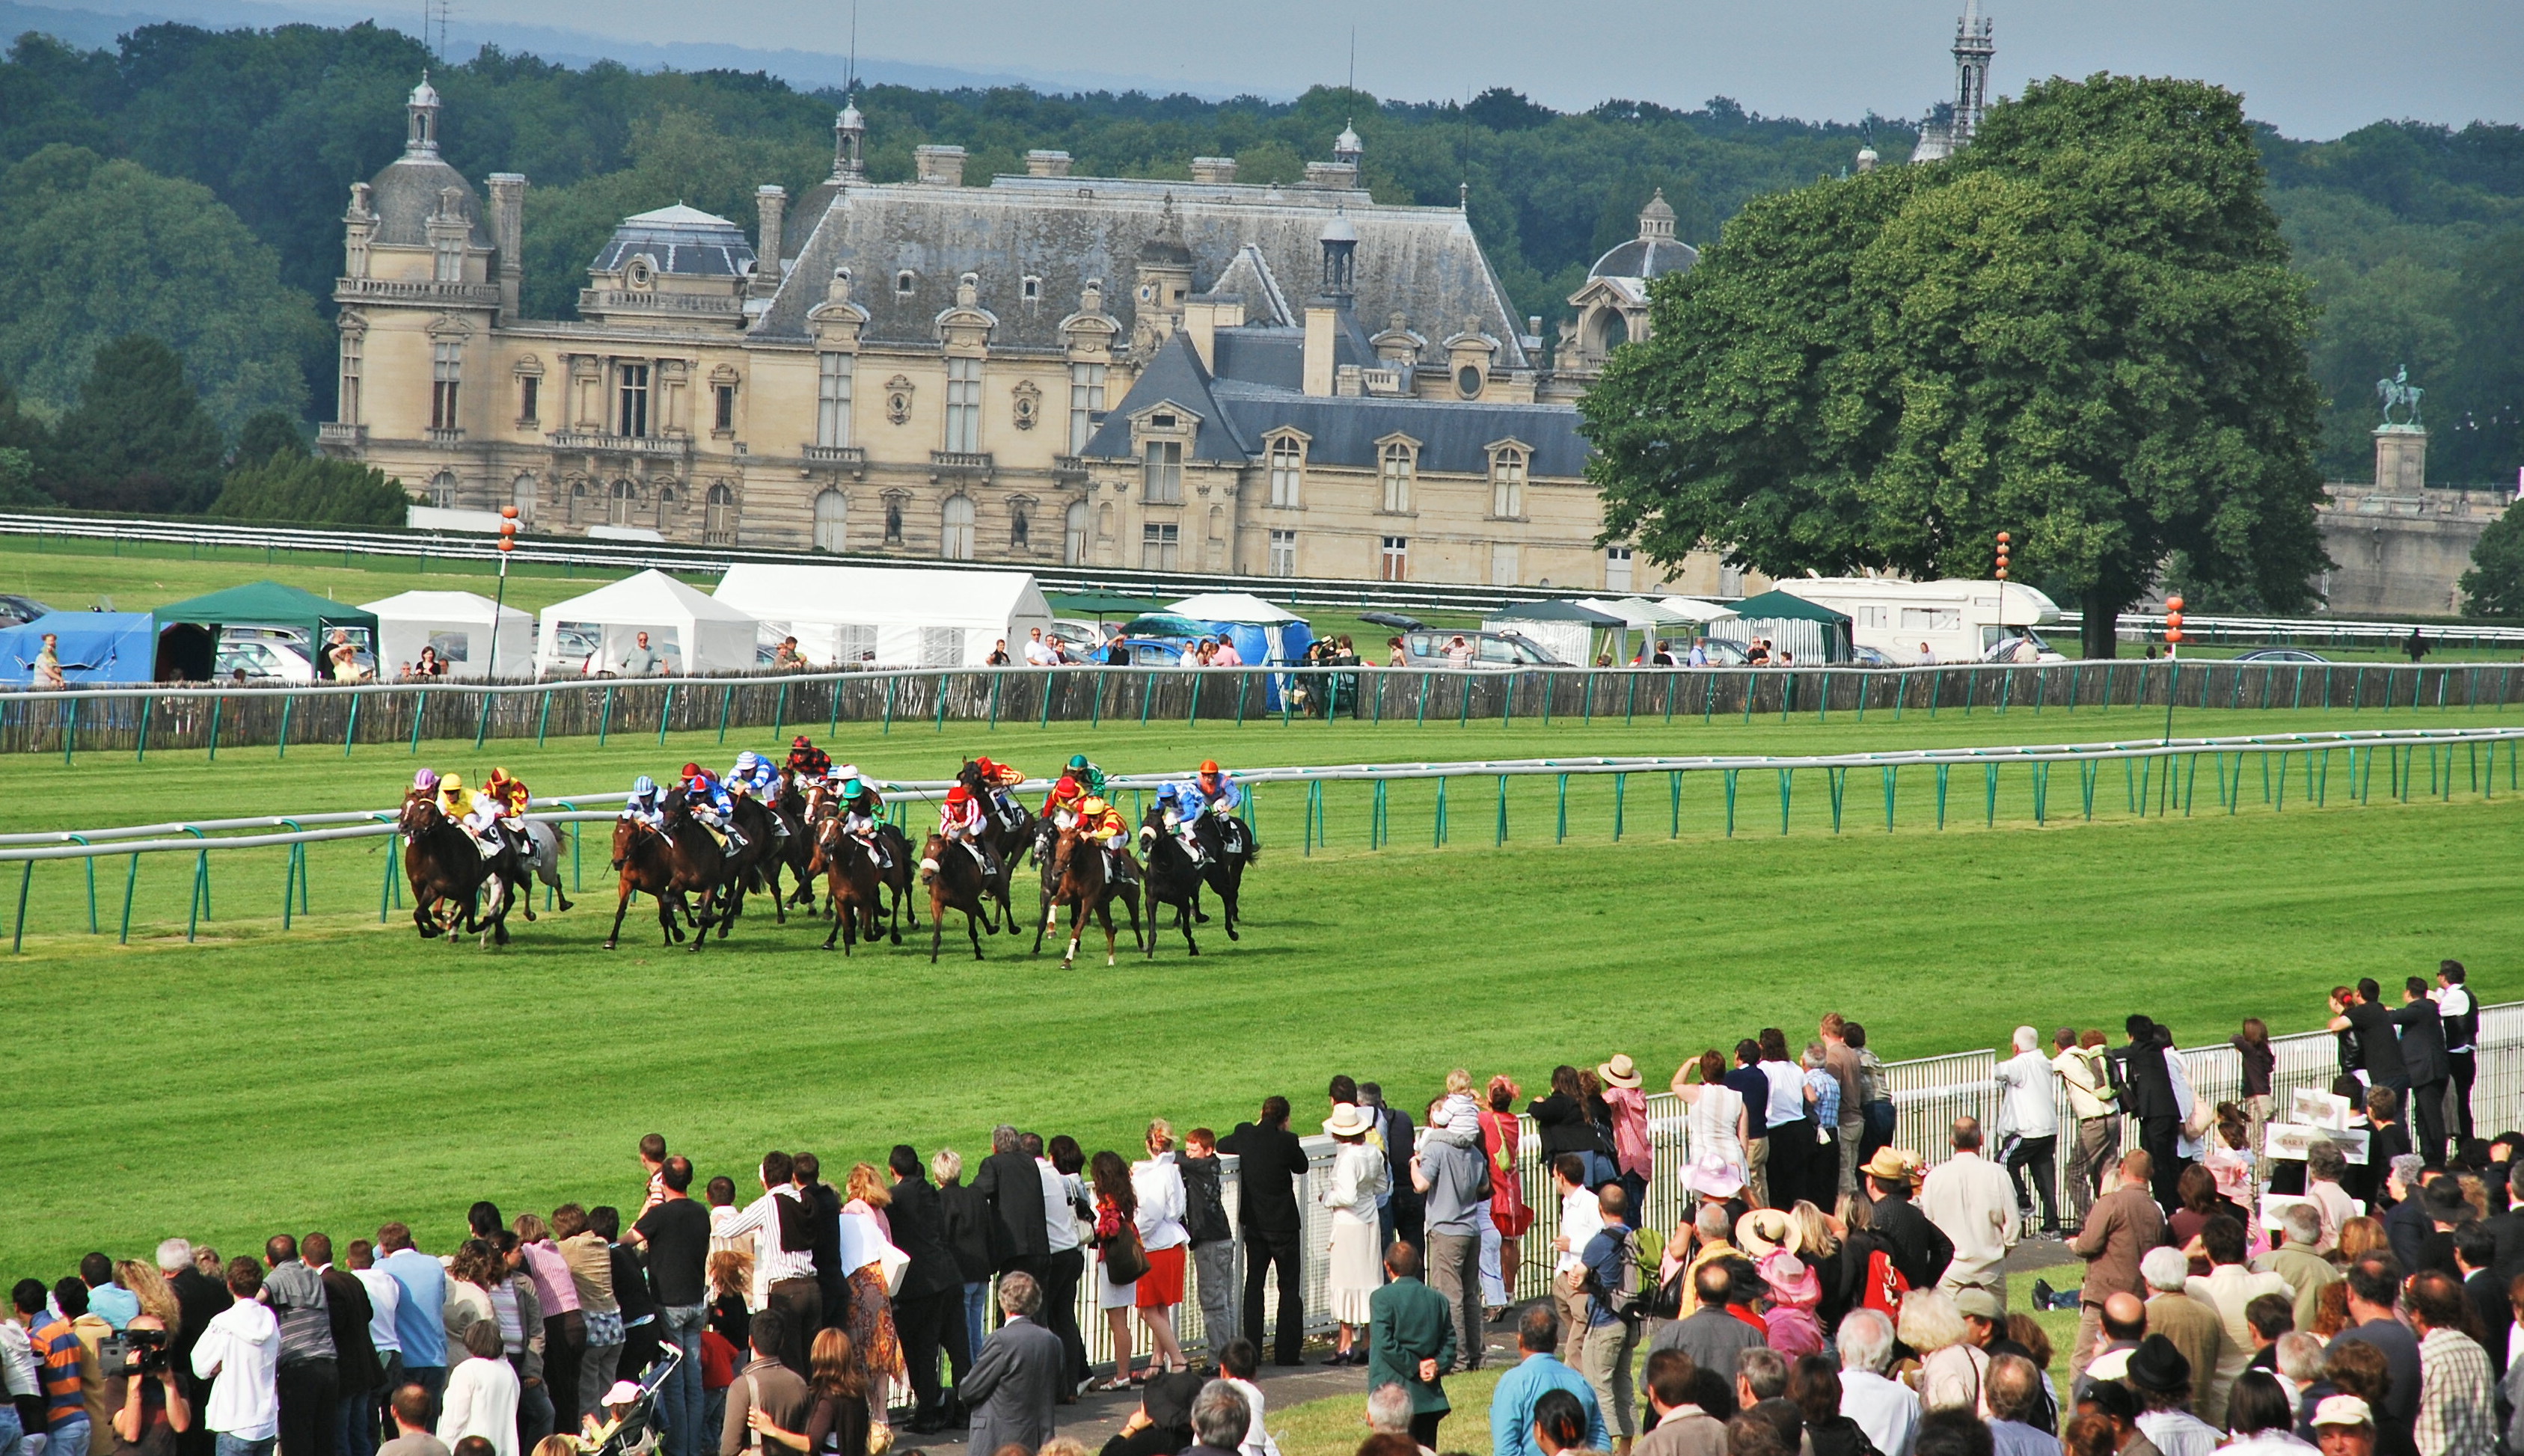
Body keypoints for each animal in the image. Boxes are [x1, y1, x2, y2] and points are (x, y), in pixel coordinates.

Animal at [396, 787, 520, 948]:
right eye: (403, 807)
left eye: (430, 811)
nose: (407, 828)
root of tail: (502, 825)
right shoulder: (430, 887)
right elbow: (420, 913)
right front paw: (433, 930)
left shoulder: (466, 892)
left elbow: (471, 925)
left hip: (505, 873)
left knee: (509, 899)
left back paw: (498, 930)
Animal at [923, 823, 999, 959]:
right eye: (924, 852)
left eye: (940, 853)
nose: (926, 877)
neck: (950, 877)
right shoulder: (937, 903)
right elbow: (936, 934)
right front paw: (933, 958)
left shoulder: (969, 905)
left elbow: (973, 932)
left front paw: (979, 954)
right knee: (980, 908)